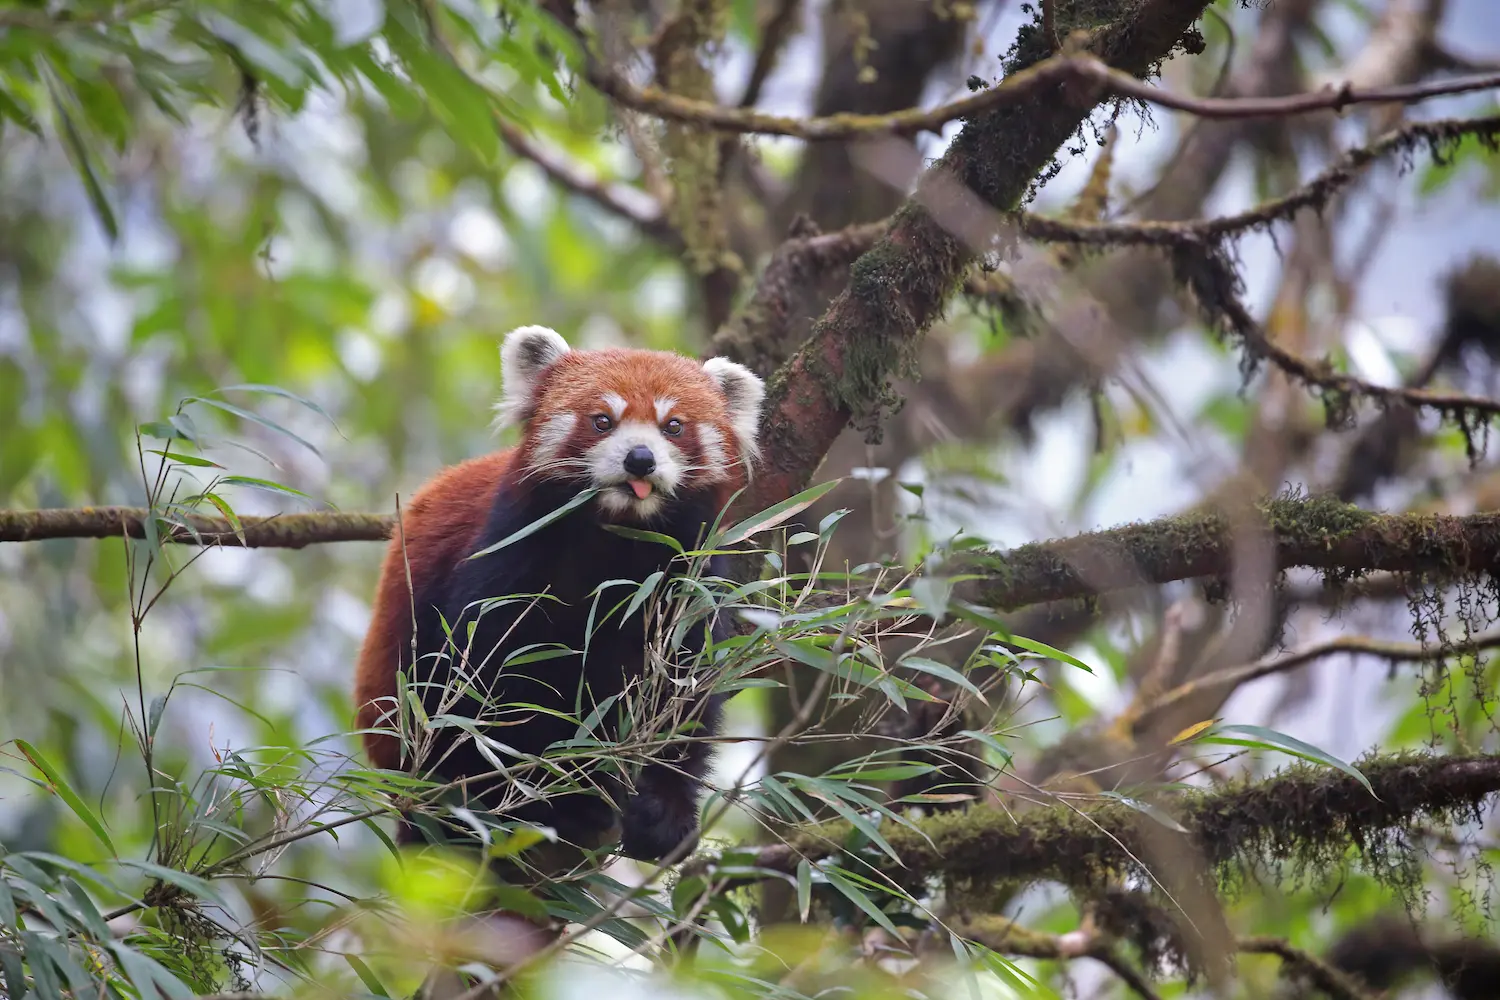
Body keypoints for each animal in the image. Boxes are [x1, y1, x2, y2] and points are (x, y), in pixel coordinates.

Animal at [357, 326, 768, 863]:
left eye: (674, 426)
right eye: (602, 420)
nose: (641, 458)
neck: (616, 539)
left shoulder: (685, 586)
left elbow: (685, 696)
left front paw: (664, 813)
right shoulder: (511, 558)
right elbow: (489, 682)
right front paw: (545, 795)